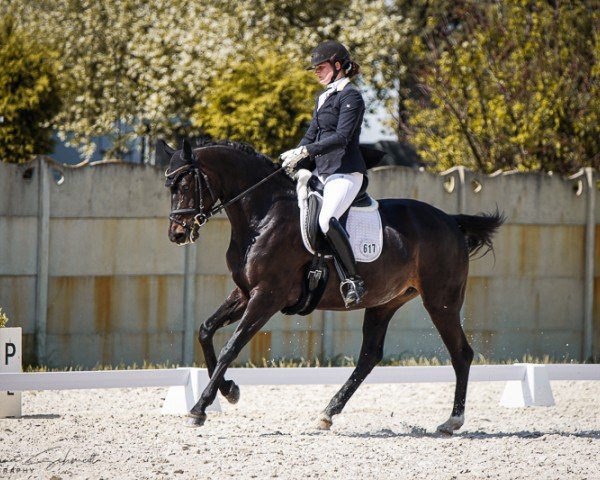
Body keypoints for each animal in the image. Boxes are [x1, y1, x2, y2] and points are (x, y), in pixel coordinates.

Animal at [162, 138, 504, 436]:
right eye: (170, 188)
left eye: (185, 185)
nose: (176, 234)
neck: (263, 217)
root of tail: (450, 220)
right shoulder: (245, 293)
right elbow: (206, 331)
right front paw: (229, 390)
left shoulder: (266, 297)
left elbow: (230, 347)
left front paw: (199, 410)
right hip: (384, 303)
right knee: (369, 356)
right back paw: (328, 413)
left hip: (440, 302)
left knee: (461, 354)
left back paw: (452, 421)